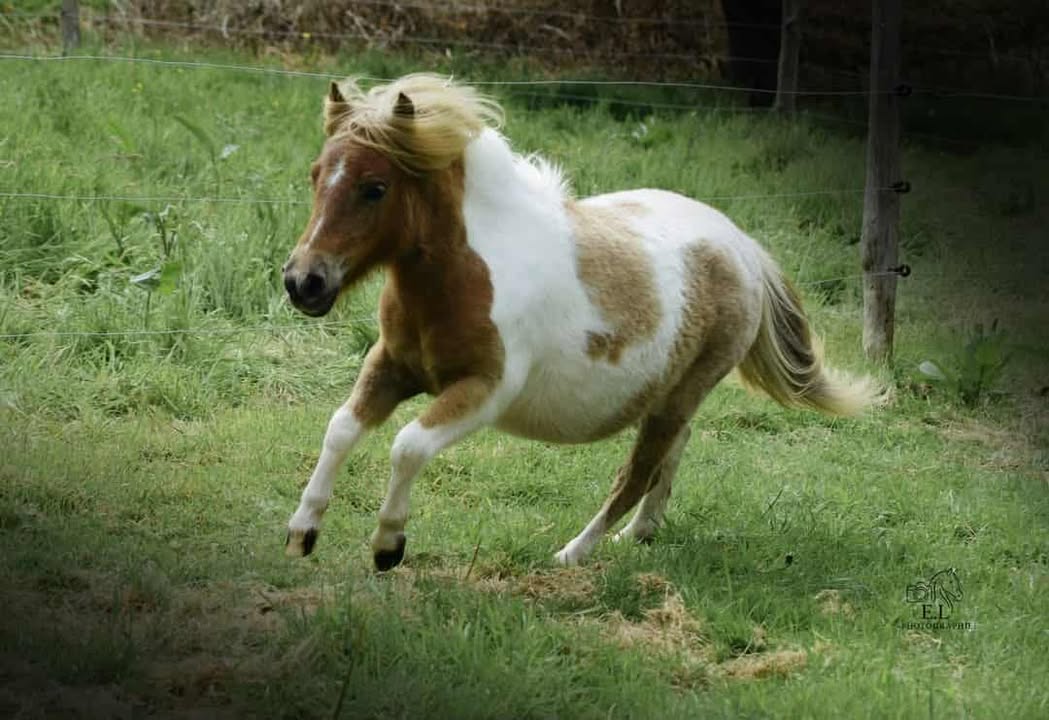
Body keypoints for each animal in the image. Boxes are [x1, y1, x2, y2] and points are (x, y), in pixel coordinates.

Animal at [281, 73, 878, 570]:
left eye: (375, 187)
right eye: (316, 175)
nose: (303, 281)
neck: (472, 270)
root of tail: (744, 247)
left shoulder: (483, 390)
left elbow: (407, 446)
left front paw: (388, 546)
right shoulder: (391, 366)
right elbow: (341, 429)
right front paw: (302, 532)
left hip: (682, 393)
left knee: (636, 474)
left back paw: (573, 554)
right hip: (668, 398)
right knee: (670, 456)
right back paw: (638, 536)